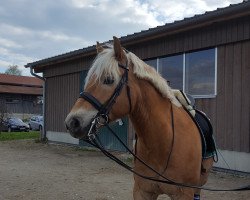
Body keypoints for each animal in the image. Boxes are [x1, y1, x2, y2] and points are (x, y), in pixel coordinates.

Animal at [64, 36, 213, 199]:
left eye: (108, 79)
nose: (72, 122)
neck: (162, 143)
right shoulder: (142, 191)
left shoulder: (184, 193)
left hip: (199, 183)